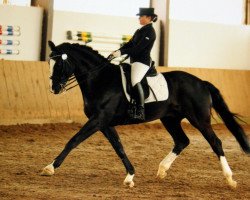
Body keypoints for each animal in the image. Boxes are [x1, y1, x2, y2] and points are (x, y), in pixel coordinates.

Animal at [42, 40, 249, 188]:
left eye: (59, 64)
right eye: (49, 63)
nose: (54, 89)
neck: (101, 80)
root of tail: (201, 82)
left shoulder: (99, 120)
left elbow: (74, 140)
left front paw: (50, 167)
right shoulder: (104, 123)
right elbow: (119, 147)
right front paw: (130, 176)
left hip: (199, 119)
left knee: (216, 143)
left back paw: (230, 180)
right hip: (170, 119)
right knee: (182, 141)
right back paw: (162, 170)